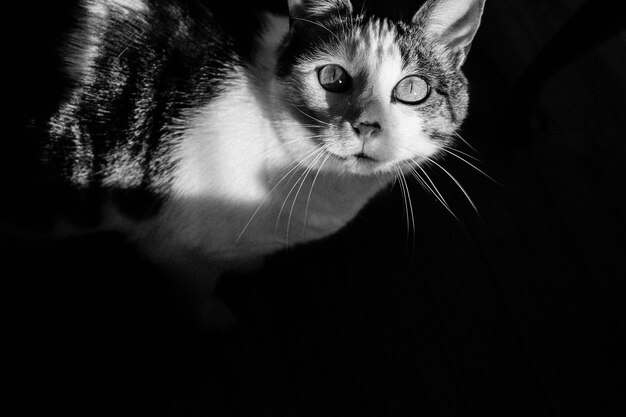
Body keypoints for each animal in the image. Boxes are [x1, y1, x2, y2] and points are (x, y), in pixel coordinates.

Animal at [14, 0, 486, 320]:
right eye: (332, 78)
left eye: (412, 90)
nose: (367, 125)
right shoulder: (175, 251)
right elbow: (199, 289)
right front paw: (215, 318)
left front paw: (246, 264)